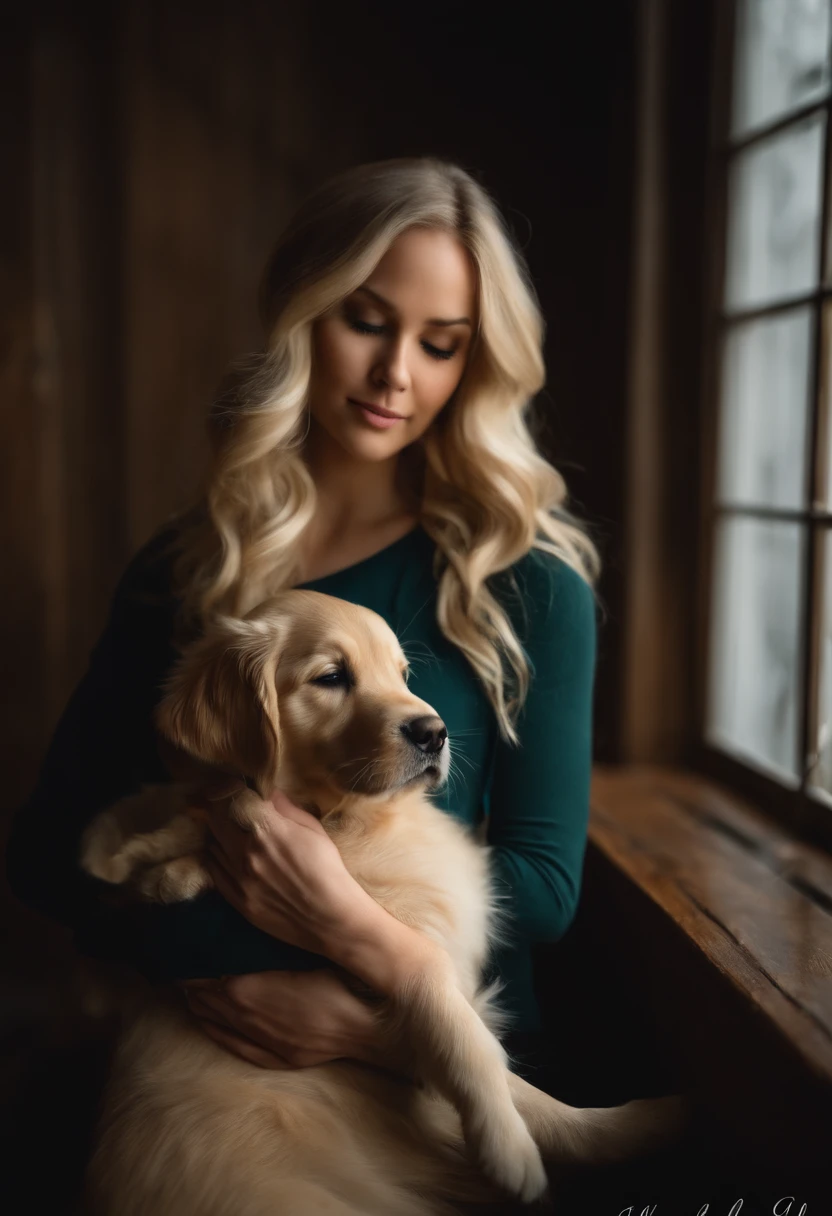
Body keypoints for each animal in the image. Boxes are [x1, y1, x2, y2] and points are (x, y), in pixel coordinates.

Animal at [81, 583, 686, 1211]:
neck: (348, 822)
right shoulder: (405, 957)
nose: (434, 732)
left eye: (402, 674)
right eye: (331, 677)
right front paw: (507, 1146)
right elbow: (457, 1020)